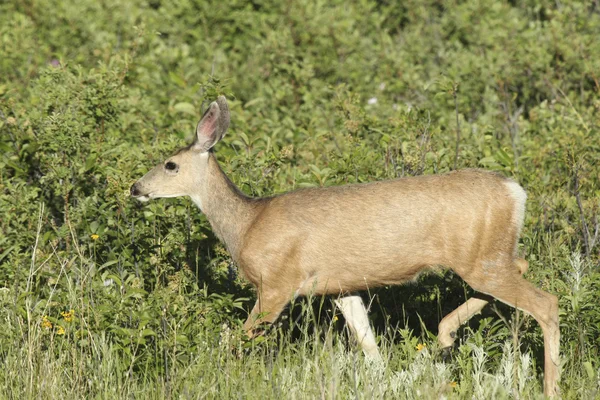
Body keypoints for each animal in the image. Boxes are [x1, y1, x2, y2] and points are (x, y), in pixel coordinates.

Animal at [131, 96, 564, 396]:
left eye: (170, 164)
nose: (136, 188)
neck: (248, 224)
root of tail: (516, 192)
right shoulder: (341, 287)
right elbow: (370, 348)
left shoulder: (277, 283)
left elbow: (234, 339)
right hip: (487, 255)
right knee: (521, 268)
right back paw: (445, 335)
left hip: (481, 258)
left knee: (546, 302)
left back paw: (548, 387)